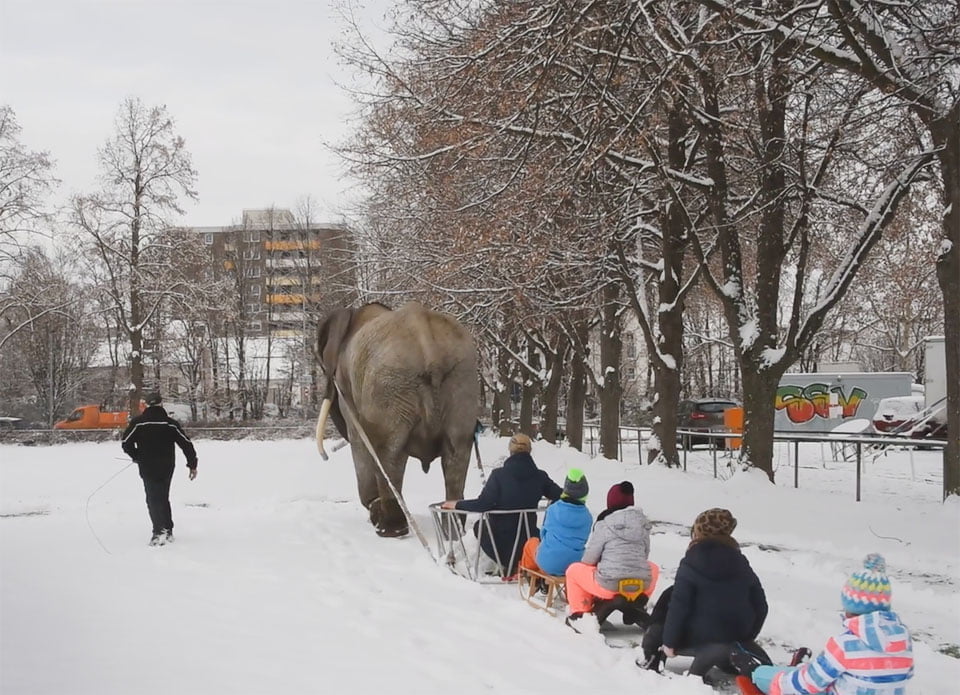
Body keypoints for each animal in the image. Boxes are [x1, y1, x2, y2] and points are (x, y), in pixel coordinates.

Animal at [315, 301, 480, 537]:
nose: (327, 455)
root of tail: (427, 343)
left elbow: (358, 439)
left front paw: (373, 513)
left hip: (389, 387)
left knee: (388, 454)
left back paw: (389, 529)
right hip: (462, 382)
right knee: (457, 452)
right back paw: (453, 532)